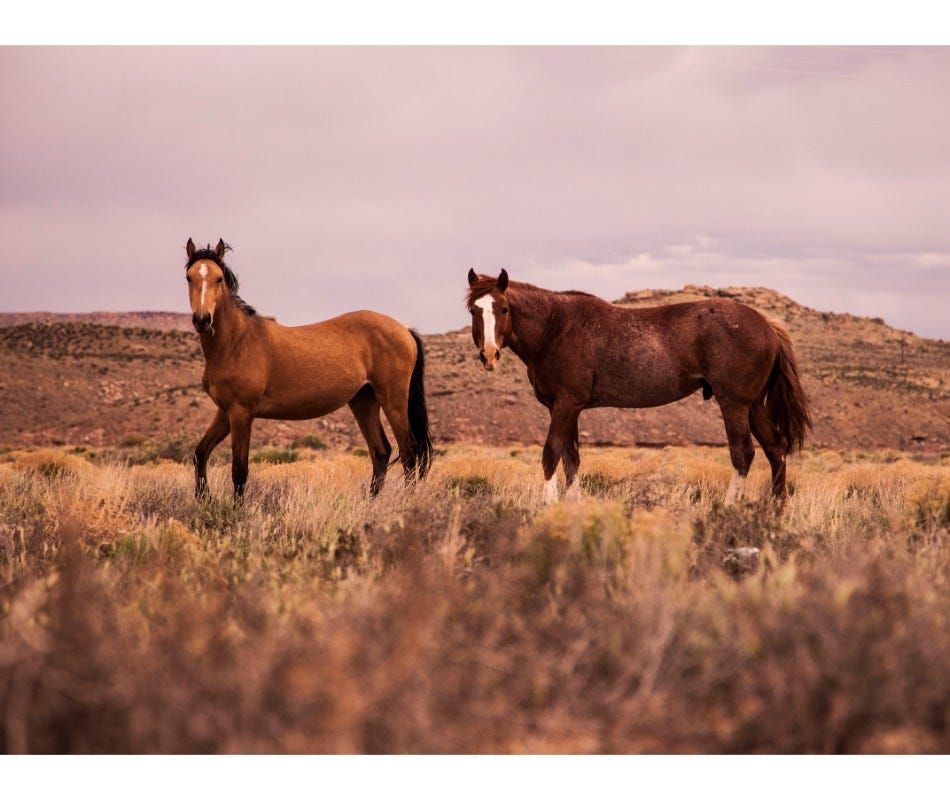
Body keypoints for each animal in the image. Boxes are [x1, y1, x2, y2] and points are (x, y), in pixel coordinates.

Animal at [183, 239, 436, 500]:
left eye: (219, 278)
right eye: (189, 277)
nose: (202, 320)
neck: (236, 341)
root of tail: (404, 329)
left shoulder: (241, 413)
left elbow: (239, 470)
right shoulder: (225, 411)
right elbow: (200, 453)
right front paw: (203, 499)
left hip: (393, 401)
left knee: (409, 454)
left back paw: (405, 502)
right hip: (363, 401)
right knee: (381, 452)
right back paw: (371, 503)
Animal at [468, 270, 812, 506]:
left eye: (504, 309)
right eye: (474, 310)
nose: (489, 355)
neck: (556, 327)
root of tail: (767, 325)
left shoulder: (566, 405)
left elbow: (551, 453)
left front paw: (548, 504)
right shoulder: (568, 409)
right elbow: (571, 459)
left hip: (734, 404)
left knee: (743, 453)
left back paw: (728, 508)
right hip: (753, 406)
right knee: (776, 448)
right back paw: (776, 510)